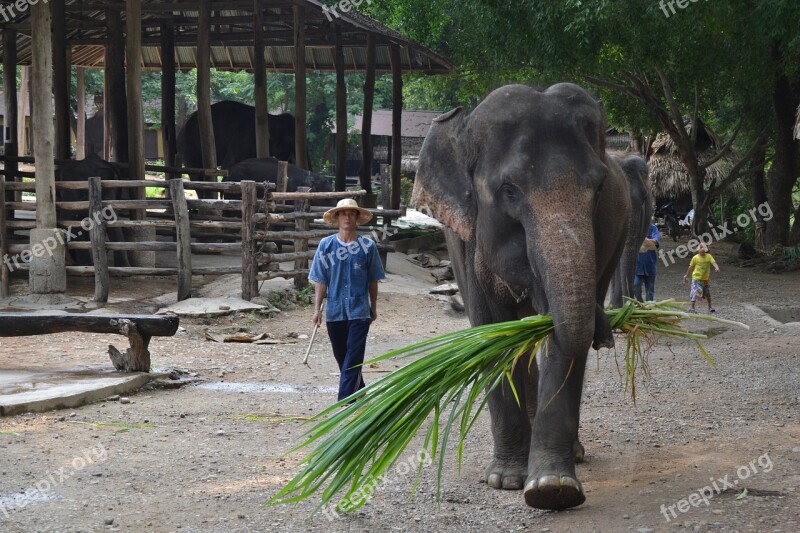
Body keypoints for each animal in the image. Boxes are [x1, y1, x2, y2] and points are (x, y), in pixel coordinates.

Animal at [412, 84, 632, 512]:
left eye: (599, 189)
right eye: (508, 191)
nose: (606, 333)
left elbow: (562, 336)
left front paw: (552, 488)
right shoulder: (468, 238)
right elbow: (491, 332)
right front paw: (508, 480)